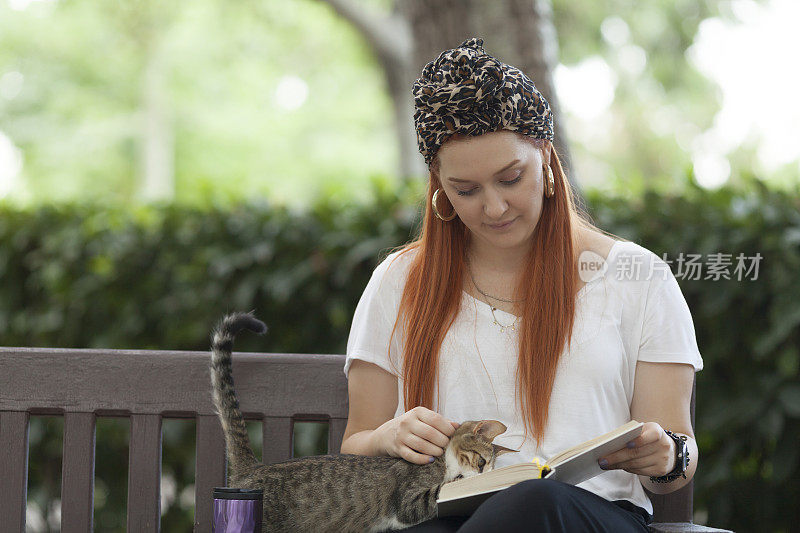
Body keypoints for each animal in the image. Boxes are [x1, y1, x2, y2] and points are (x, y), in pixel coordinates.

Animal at [209, 312, 516, 532]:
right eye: (481, 462)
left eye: (489, 468)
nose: (483, 477)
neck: (442, 460)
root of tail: (252, 470)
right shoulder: (408, 499)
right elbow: (439, 493)